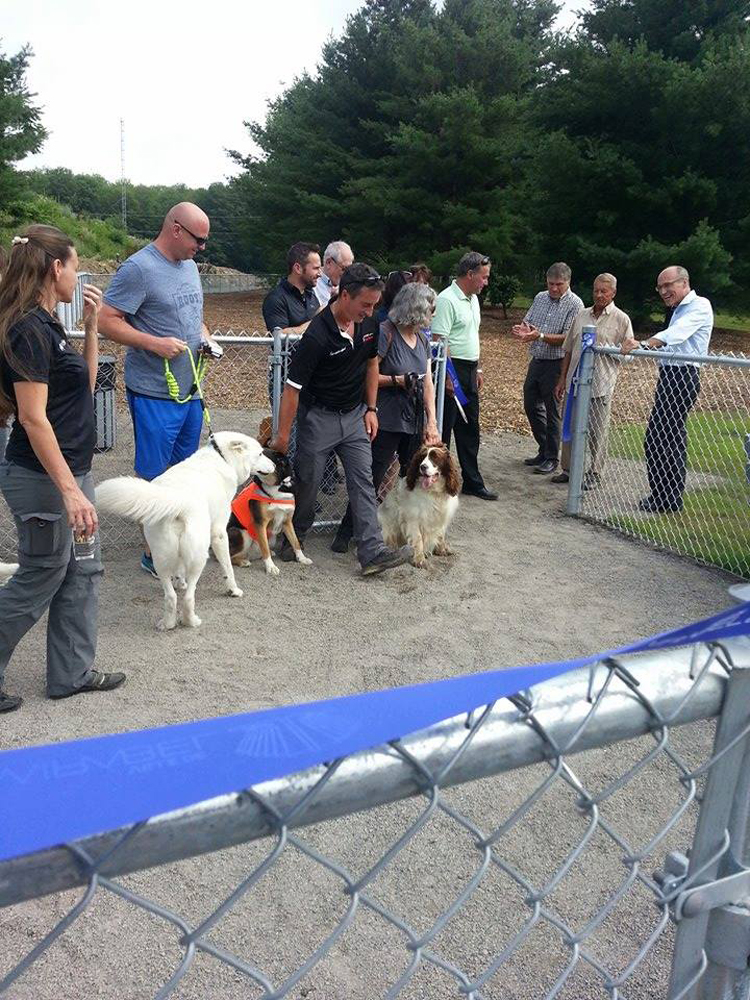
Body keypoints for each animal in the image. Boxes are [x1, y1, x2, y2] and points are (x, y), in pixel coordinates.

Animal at [95, 432, 274, 632]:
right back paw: (191, 621)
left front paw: (179, 582)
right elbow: (228, 567)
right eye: (260, 454)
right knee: (189, 597)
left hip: (161, 558)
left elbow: (180, 570)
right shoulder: (219, 533)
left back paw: (167, 623)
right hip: (199, 557)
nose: (274, 466)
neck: (221, 457)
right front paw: (233, 590)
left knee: (170, 597)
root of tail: (178, 501)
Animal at [228, 448, 312, 580]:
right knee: (229, 556)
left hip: (271, 537)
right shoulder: (260, 523)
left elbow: (295, 542)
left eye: (261, 455)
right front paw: (270, 567)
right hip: (243, 533)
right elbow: (265, 548)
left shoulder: (287, 521)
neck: (276, 487)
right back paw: (243, 561)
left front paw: (302, 558)